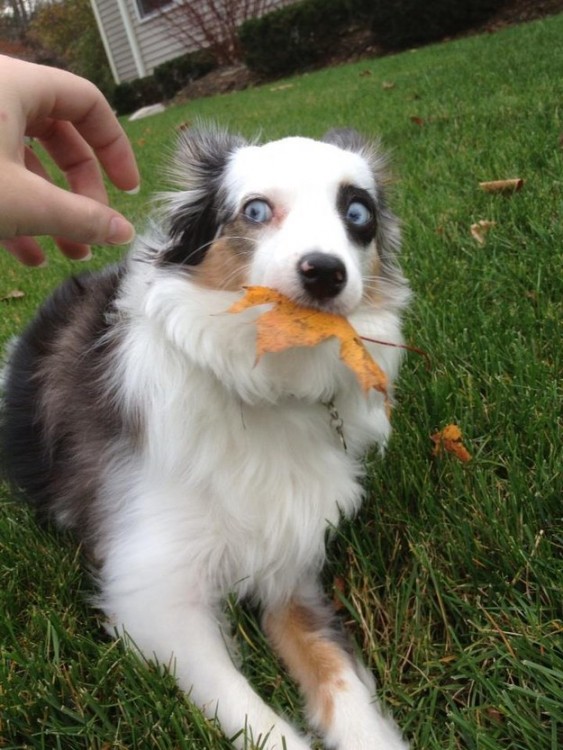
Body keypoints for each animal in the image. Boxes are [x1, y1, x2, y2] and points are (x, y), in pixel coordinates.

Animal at [2, 126, 412, 748]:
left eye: (358, 213)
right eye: (256, 210)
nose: (325, 271)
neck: (267, 383)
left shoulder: (291, 569)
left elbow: (338, 672)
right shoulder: (156, 599)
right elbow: (252, 714)